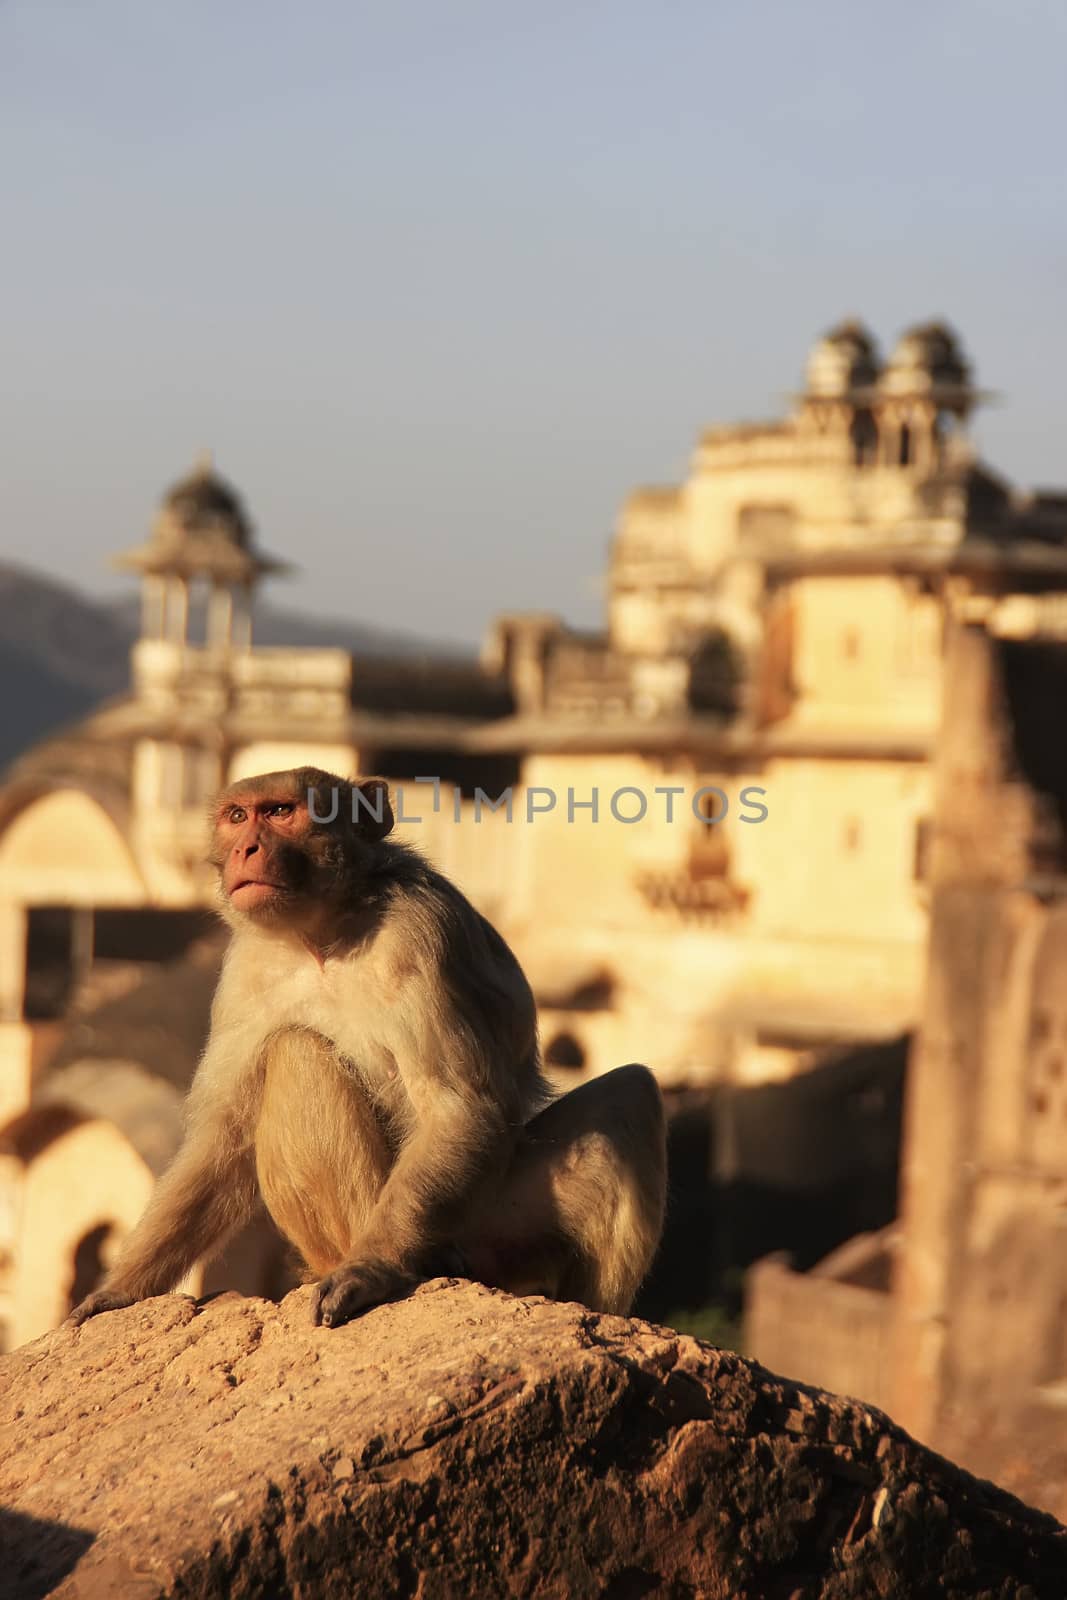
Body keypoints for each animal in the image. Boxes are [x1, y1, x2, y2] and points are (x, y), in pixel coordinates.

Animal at [68, 768, 668, 1331]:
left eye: (280, 812)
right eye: (237, 817)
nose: (245, 849)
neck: (323, 939)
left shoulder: (421, 932)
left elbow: (458, 1107)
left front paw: (370, 1269)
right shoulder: (242, 974)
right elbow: (223, 1136)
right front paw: (121, 1290)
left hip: (476, 1238)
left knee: (630, 1093)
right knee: (296, 1052)